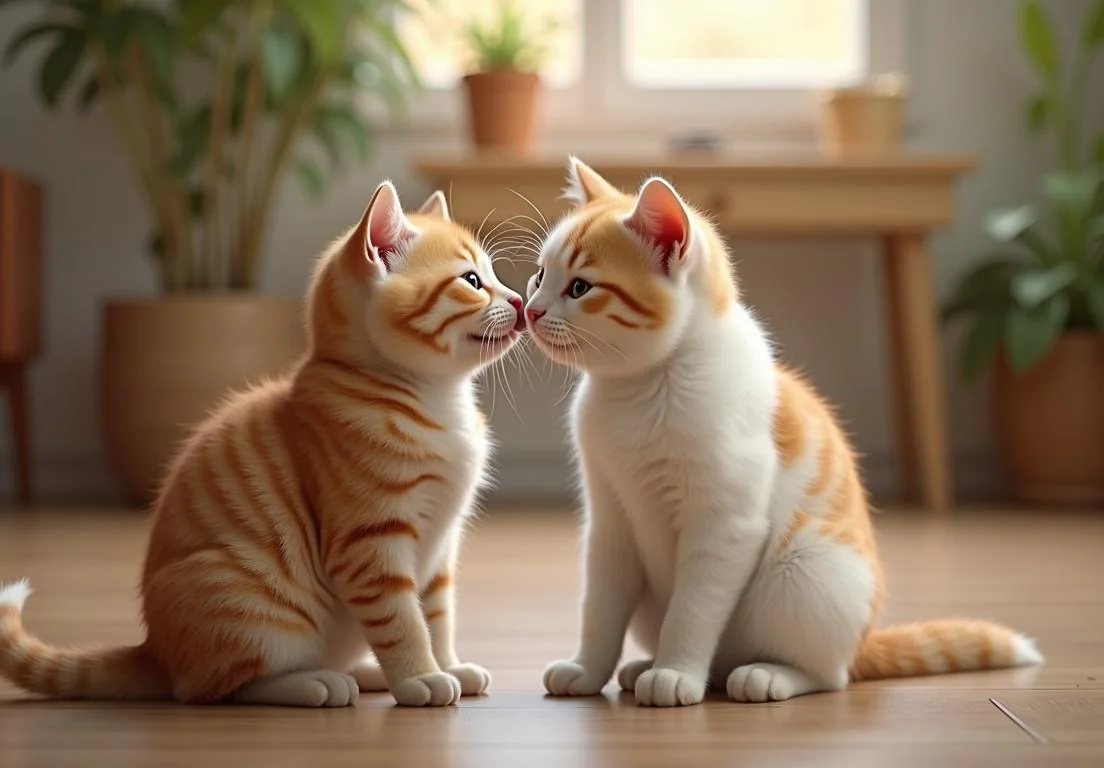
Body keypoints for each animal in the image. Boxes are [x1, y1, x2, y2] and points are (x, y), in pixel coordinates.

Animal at [0, 179, 525, 706]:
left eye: (494, 276)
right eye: (472, 281)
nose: (521, 300)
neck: (436, 399)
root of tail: (157, 652)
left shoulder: (441, 547)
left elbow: (436, 615)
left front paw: (449, 665)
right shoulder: (370, 545)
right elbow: (402, 621)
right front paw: (420, 678)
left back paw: (364, 672)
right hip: (248, 605)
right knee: (214, 687)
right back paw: (317, 682)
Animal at [525, 160, 1042, 706]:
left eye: (580, 288)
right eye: (540, 275)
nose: (531, 309)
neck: (638, 389)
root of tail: (862, 643)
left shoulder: (726, 526)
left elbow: (692, 611)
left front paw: (676, 672)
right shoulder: (609, 521)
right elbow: (600, 609)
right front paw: (587, 669)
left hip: (805, 575)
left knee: (828, 675)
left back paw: (763, 675)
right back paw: (646, 665)